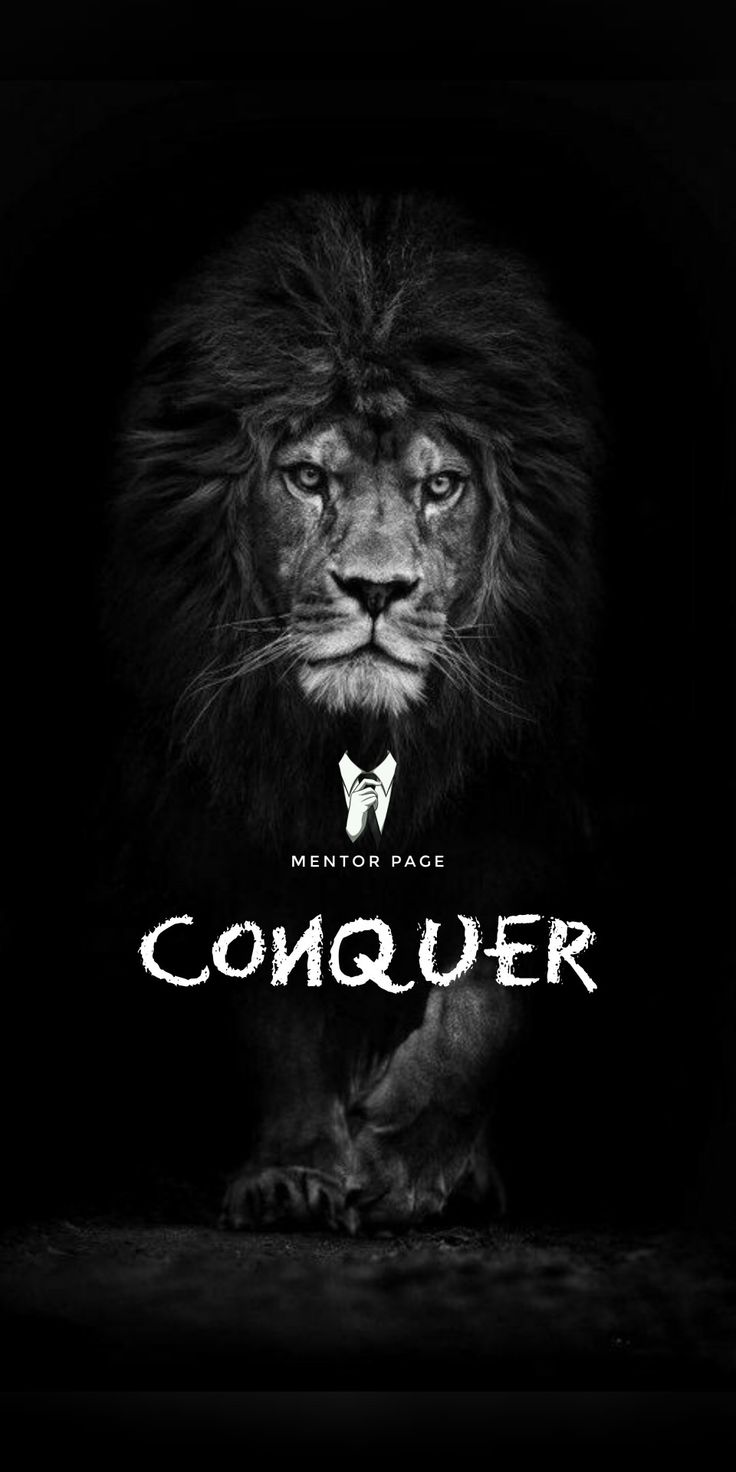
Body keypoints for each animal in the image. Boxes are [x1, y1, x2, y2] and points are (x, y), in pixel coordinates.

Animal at [108, 193, 598, 1231]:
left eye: (441, 485)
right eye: (307, 478)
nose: (376, 589)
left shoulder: (532, 801)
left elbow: (488, 1001)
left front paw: (407, 1163)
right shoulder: (239, 814)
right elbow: (279, 1008)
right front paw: (297, 1170)